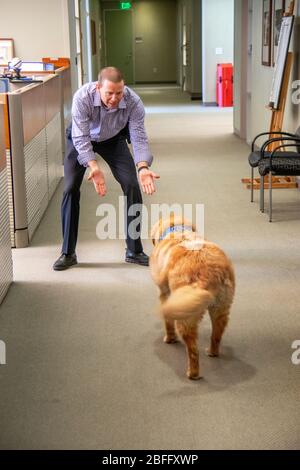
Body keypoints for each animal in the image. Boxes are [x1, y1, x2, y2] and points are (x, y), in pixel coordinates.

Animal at [150, 217, 234, 382]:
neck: (176, 229)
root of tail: (208, 272)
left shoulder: (165, 295)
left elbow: (168, 322)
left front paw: (169, 338)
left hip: (186, 318)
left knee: (193, 351)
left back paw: (192, 373)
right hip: (221, 309)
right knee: (216, 336)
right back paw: (212, 352)